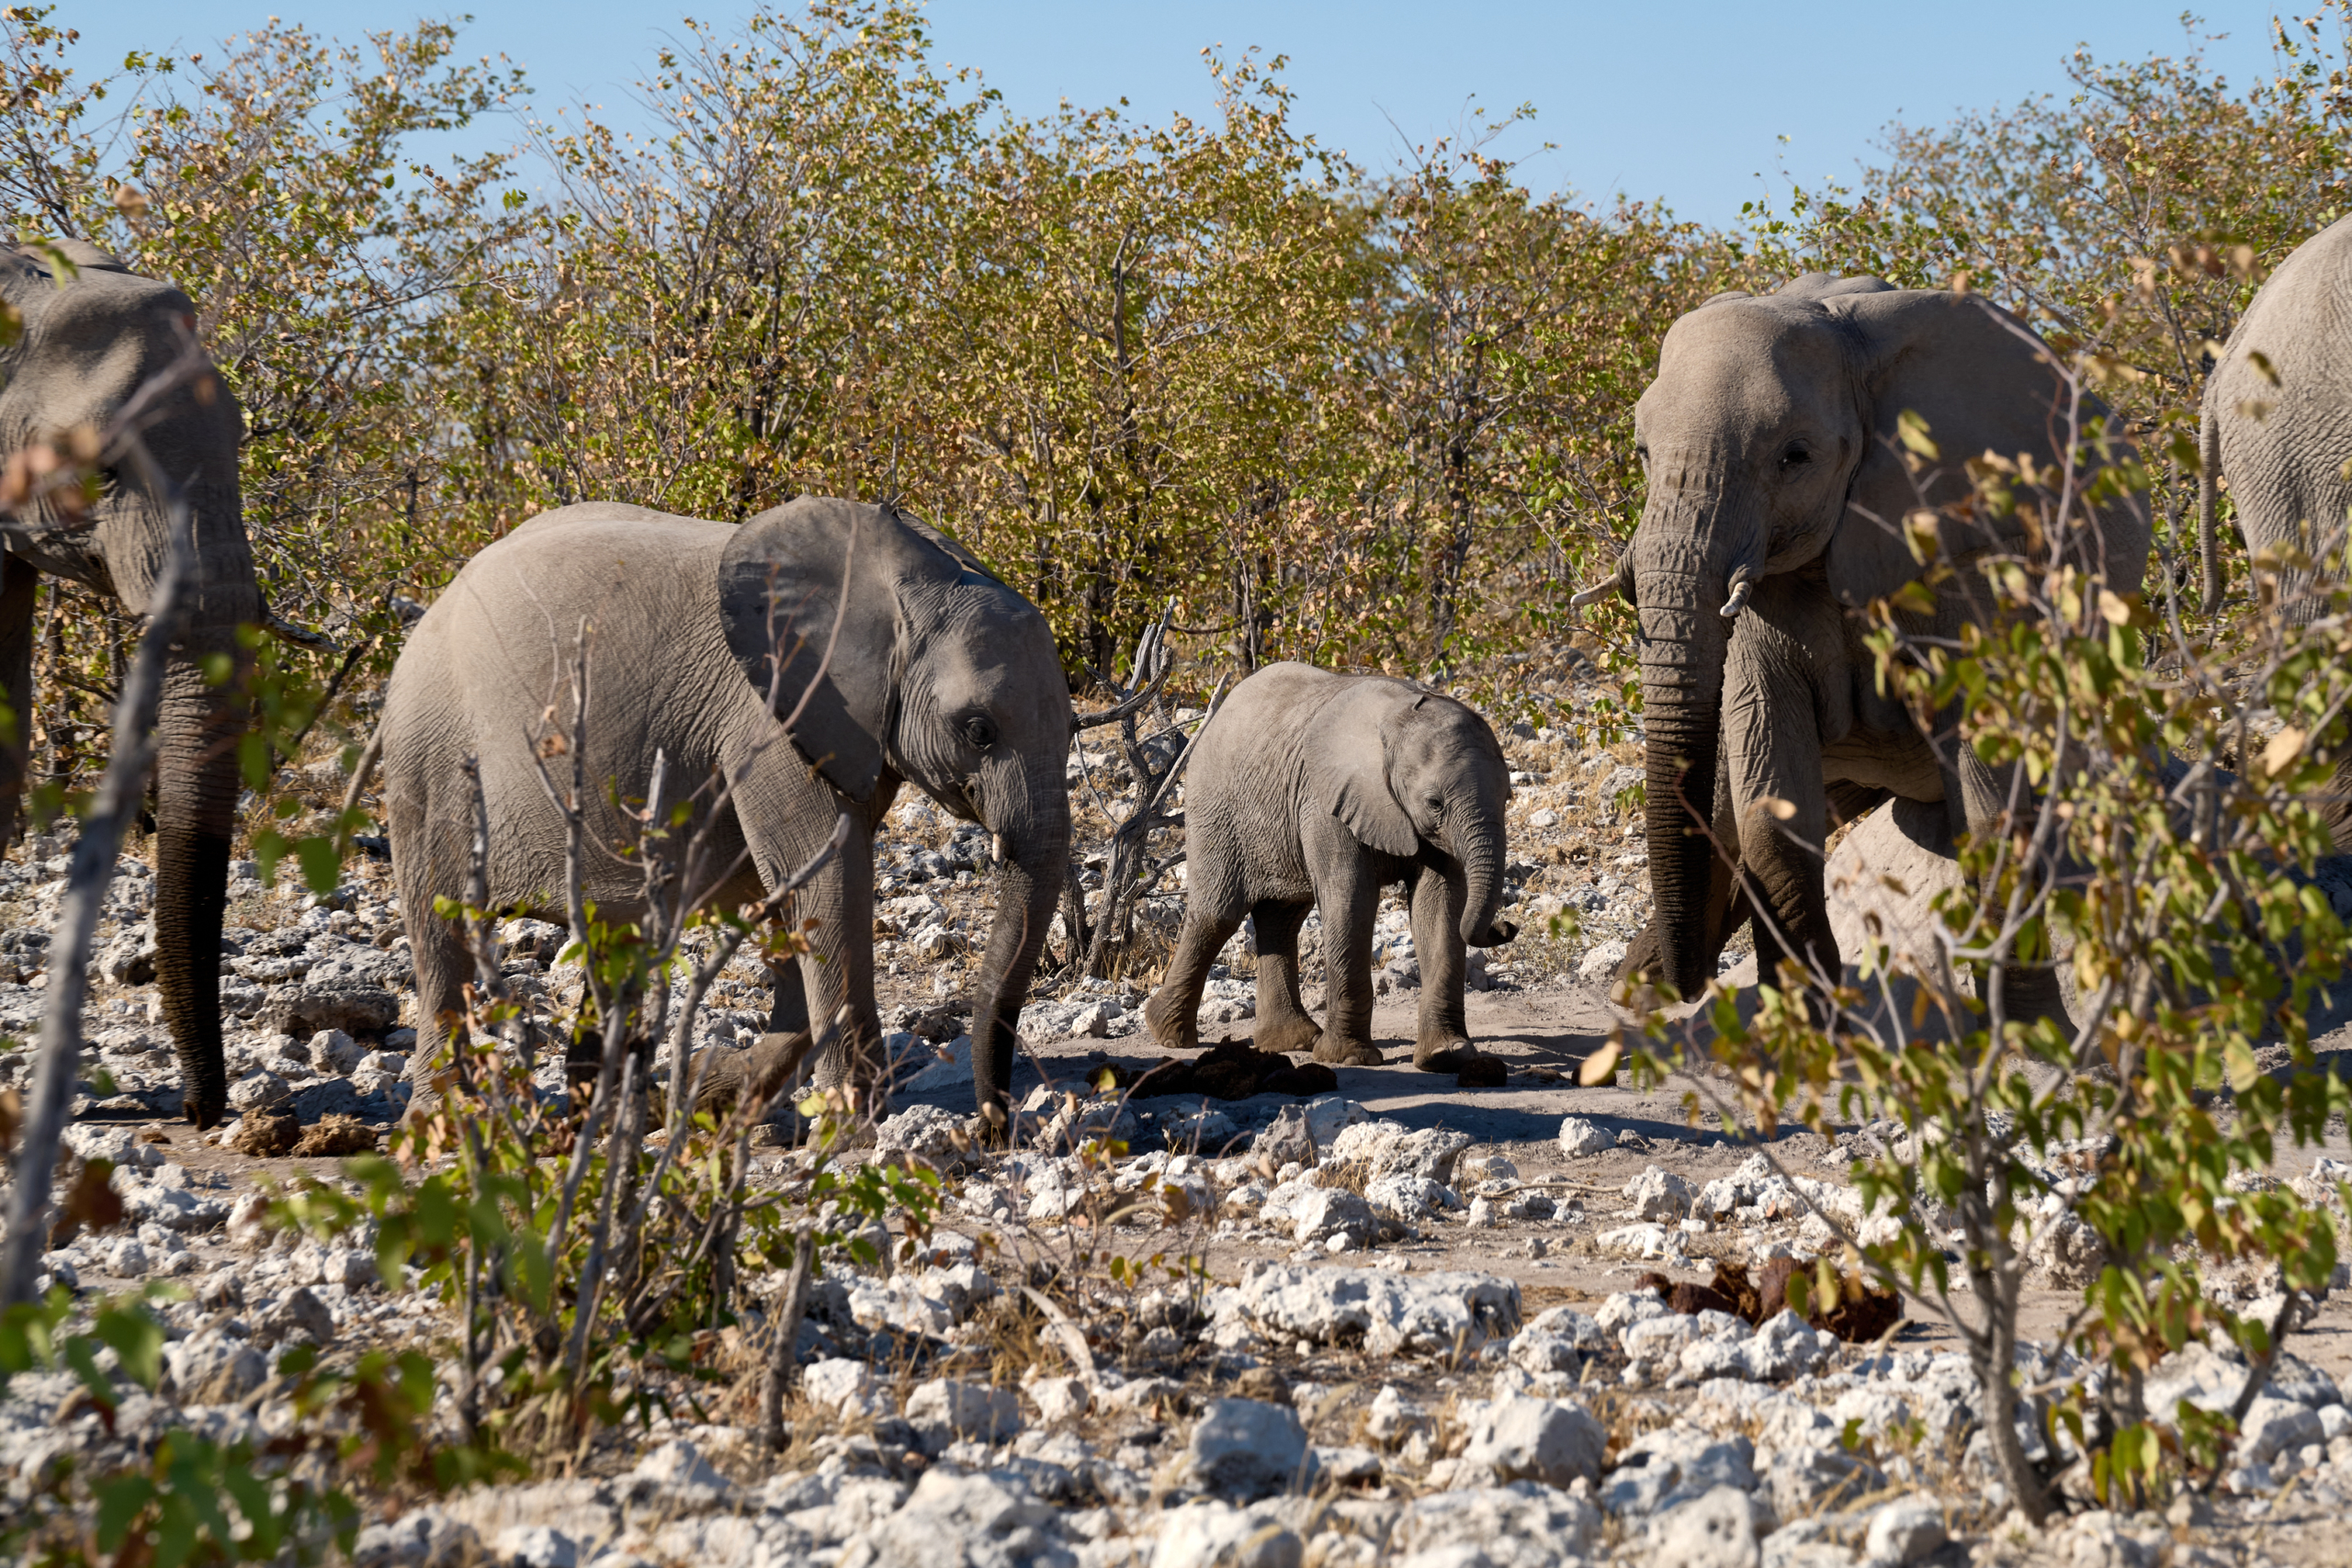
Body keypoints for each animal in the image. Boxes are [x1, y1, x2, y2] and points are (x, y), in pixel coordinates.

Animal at [379, 495, 1077, 1123]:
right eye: (978, 730)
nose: (993, 1128)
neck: (911, 574)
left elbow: (796, 901)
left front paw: (711, 1091)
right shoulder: (772, 718)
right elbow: (825, 883)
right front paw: (853, 1127)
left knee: (613, 939)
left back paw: (593, 1120)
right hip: (426, 766)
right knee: (441, 937)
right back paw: (444, 1122)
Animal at [1143, 662, 1523, 1066]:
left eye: (1507, 797)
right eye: (1435, 803)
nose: (1506, 926)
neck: (1397, 722)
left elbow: (1440, 905)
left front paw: (1446, 1055)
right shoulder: (1326, 800)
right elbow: (1351, 895)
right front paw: (1349, 1058)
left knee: (1282, 917)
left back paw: (1291, 1041)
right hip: (1215, 807)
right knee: (1218, 915)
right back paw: (1168, 1034)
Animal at [1609, 271, 2144, 1010]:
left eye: (1794, 457)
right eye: (1642, 453)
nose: (1695, 986)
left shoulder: (1972, 559)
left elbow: (1991, 810)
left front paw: (2027, 1029)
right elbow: (1771, 812)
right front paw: (1810, 1022)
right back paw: (1639, 987)